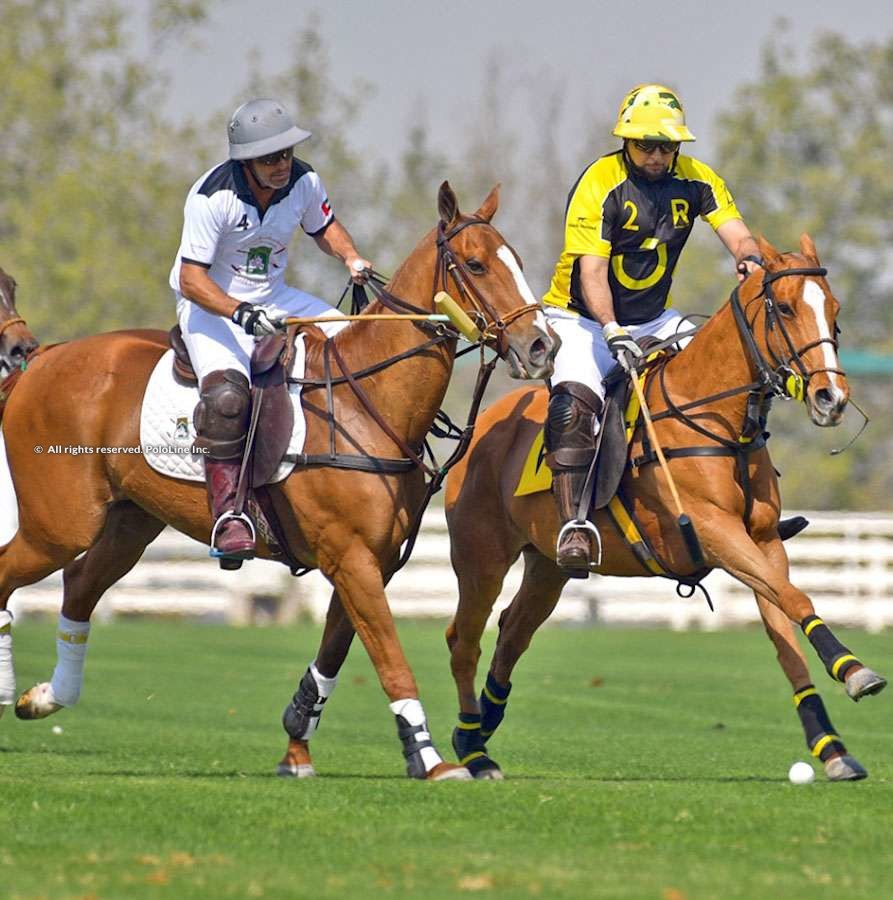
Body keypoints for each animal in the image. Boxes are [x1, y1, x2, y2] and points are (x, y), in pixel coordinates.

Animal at [0, 185, 556, 780]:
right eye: (475, 264)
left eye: (518, 263)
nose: (541, 347)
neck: (366, 401)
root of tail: (40, 360)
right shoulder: (349, 556)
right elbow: (390, 658)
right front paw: (428, 758)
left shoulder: (371, 560)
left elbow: (331, 658)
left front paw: (297, 750)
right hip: (61, 523)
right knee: (16, 572)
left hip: (130, 521)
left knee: (81, 583)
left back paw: (44, 698)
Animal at [442, 237, 880, 780]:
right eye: (783, 308)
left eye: (834, 310)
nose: (831, 398)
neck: (715, 419)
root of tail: (482, 425)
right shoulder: (713, 530)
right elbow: (796, 600)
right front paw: (856, 670)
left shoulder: (762, 541)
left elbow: (785, 630)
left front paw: (832, 747)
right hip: (480, 556)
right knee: (464, 636)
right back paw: (470, 744)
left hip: (548, 564)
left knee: (512, 632)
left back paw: (481, 727)